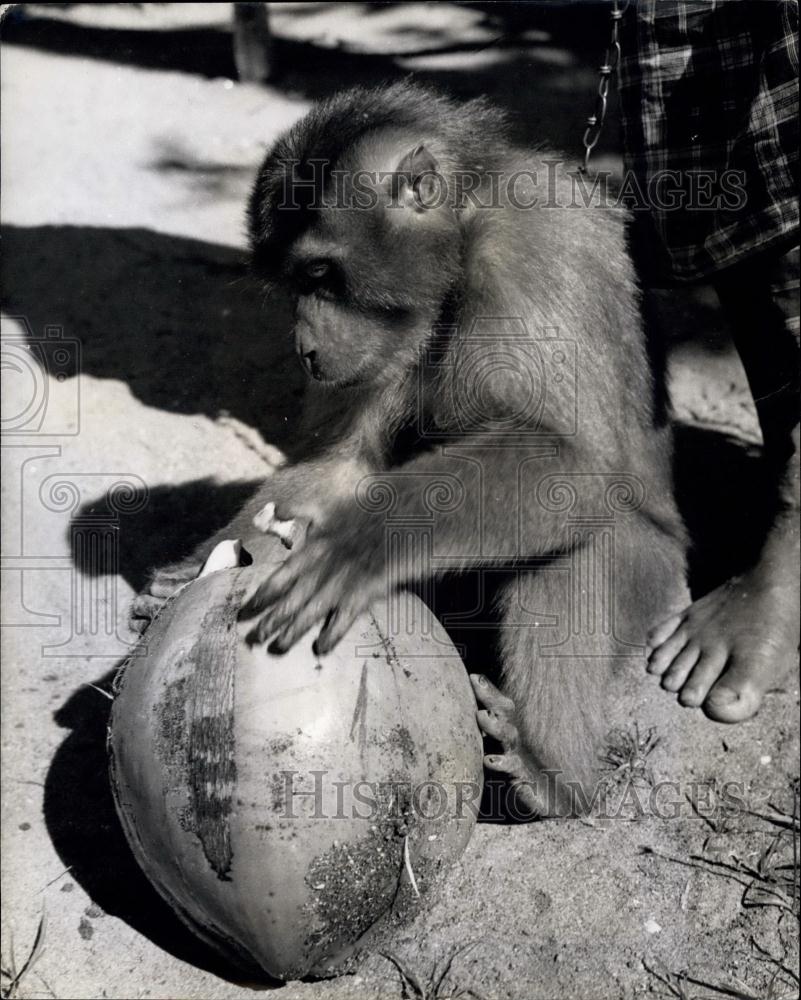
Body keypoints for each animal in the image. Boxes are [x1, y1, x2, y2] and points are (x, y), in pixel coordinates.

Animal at [131, 84, 688, 820]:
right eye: (296, 286)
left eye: (321, 275)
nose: (304, 347)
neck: (463, 237)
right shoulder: (385, 337)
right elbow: (344, 466)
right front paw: (202, 562)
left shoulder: (533, 251)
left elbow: (574, 463)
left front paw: (360, 544)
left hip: (658, 575)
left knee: (576, 549)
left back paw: (552, 777)